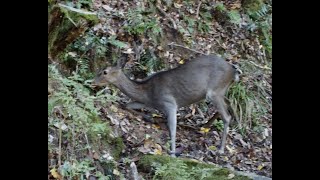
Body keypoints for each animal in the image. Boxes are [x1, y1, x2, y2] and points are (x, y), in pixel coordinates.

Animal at [91, 54, 239, 156]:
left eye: (104, 71)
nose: (92, 81)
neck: (148, 93)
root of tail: (233, 72)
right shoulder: (150, 104)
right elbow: (128, 105)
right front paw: (149, 117)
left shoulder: (169, 103)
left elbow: (172, 129)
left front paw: (172, 152)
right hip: (222, 90)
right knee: (229, 102)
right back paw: (206, 125)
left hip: (215, 91)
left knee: (226, 116)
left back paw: (220, 149)